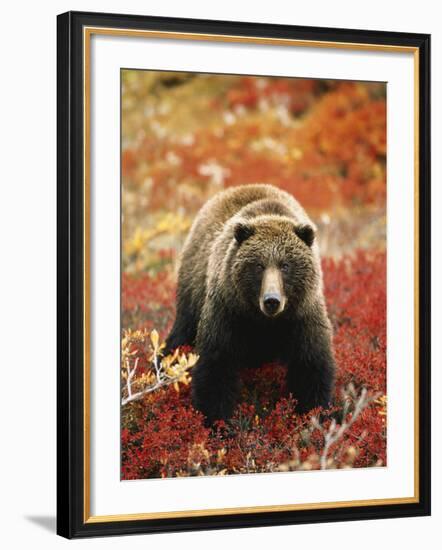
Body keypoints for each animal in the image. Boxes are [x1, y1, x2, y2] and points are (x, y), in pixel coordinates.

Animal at [166, 183, 334, 424]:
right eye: (259, 265)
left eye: (285, 265)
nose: (271, 300)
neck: (263, 321)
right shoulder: (228, 312)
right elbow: (216, 366)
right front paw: (217, 421)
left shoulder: (302, 316)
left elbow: (311, 367)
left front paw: (314, 415)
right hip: (192, 287)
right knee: (181, 333)